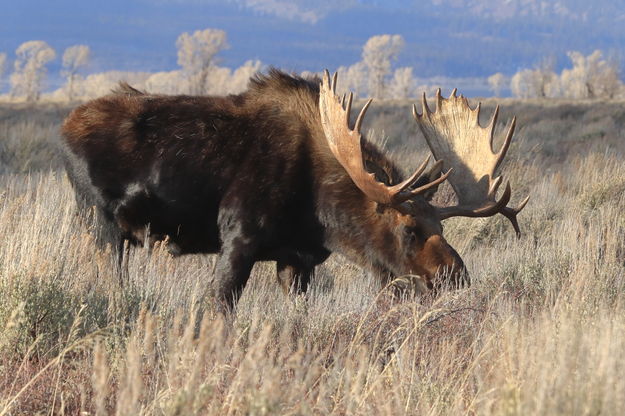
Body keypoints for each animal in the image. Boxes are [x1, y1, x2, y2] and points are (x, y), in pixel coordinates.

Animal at [61, 68, 528, 308]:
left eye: (442, 227)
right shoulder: (239, 238)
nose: (456, 277)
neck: (320, 214)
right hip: (102, 227)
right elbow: (218, 306)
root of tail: (64, 128)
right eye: (408, 229)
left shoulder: (297, 259)